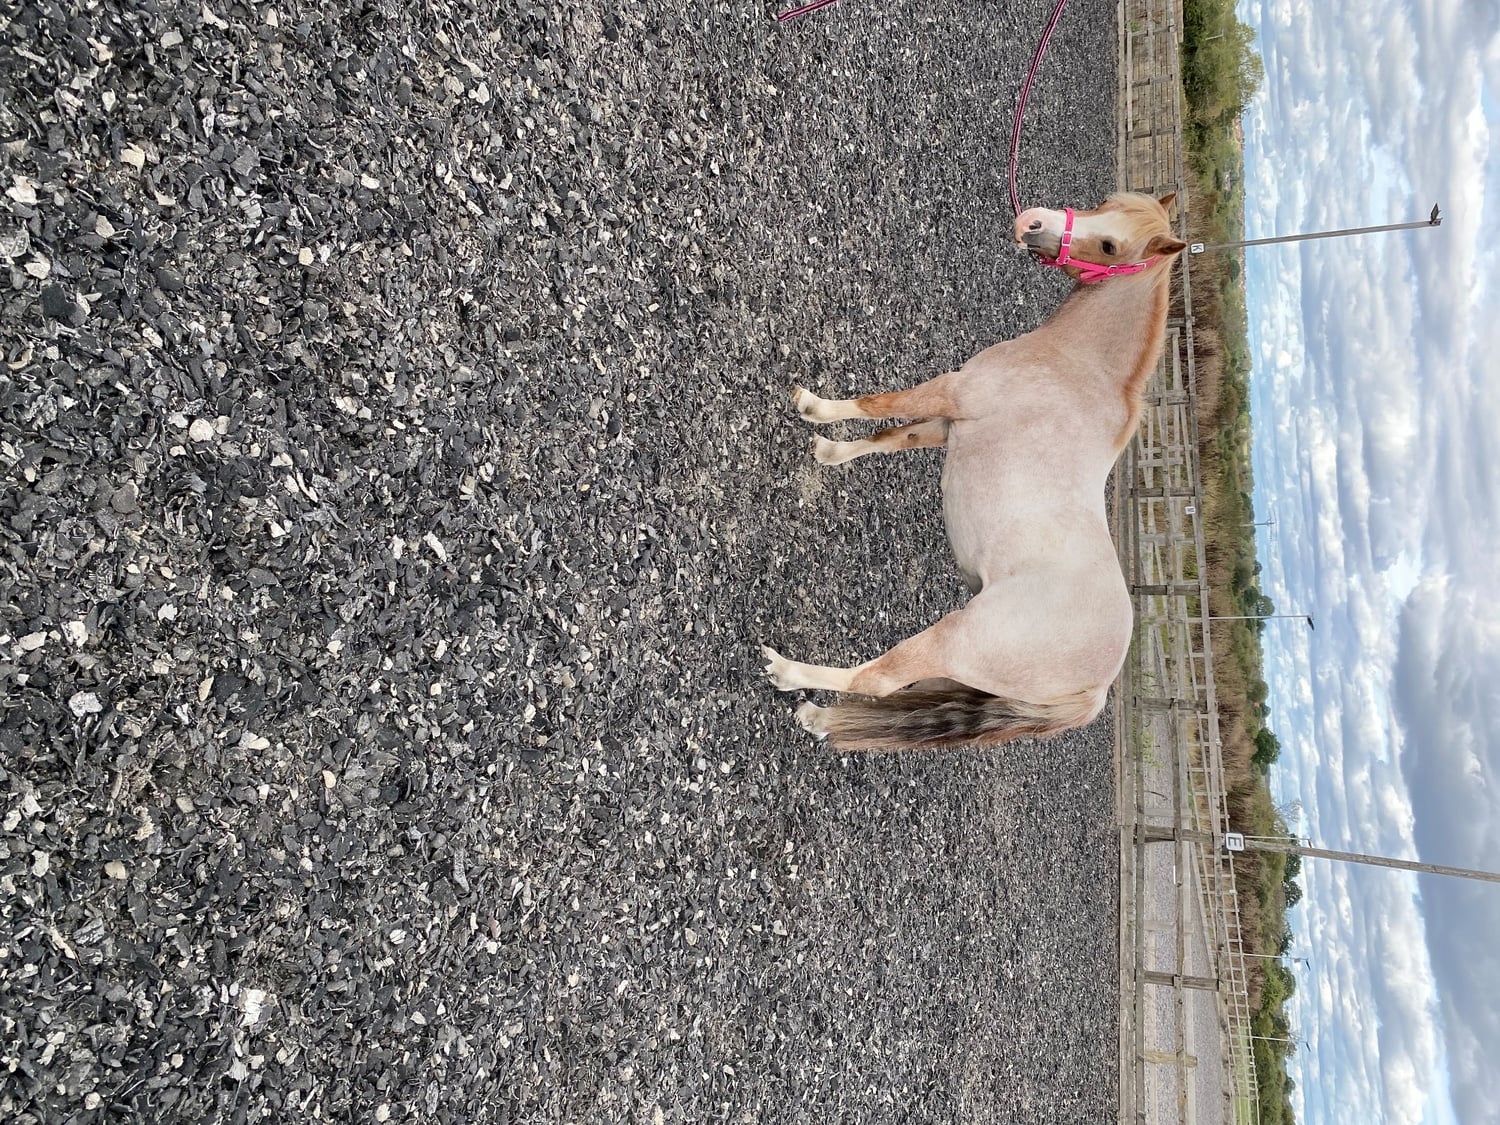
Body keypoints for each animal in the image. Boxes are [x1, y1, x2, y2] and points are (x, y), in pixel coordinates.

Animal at [762, 192, 1186, 750]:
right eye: (1106, 203)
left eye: (1112, 246)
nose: (1032, 222)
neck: (1076, 367)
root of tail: (1094, 690)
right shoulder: (949, 425)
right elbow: (891, 437)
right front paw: (830, 452)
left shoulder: (952, 391)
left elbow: (881, 404)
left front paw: (814, 408)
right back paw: (819, 718)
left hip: (952, 641)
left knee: (878, 679)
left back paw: (788, 673)